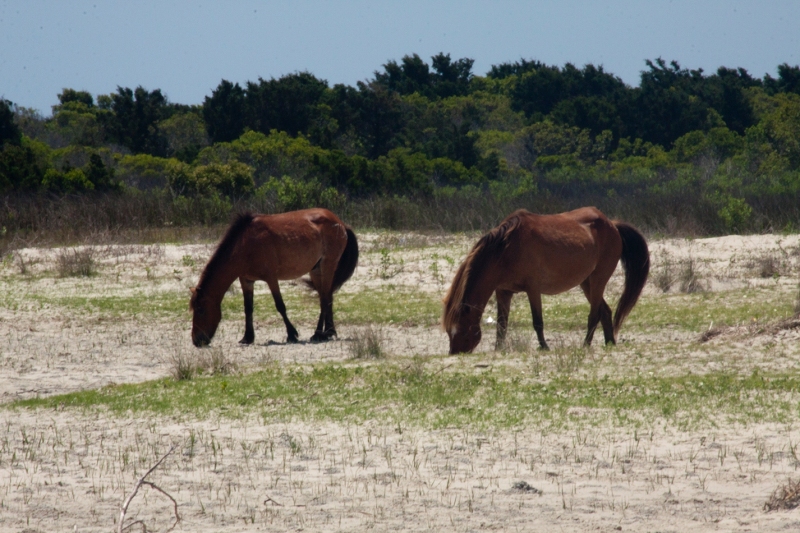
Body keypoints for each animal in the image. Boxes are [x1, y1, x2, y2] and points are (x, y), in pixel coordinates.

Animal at [190, 208, 359, 347]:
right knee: (327, 297)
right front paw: (247, 337)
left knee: (324, 299)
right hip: (316, 270)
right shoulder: (246, 280)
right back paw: (327, 332)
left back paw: (320, 334)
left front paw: (291, 334)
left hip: (327, 266)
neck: (245, 245)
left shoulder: (271, 278)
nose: (197, 341)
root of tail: (340, 223)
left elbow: (280, 306)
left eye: (201, 310)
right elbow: (248, 308)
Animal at [442, 207, 649, 354]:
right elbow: (501, 324)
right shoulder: (503, 292)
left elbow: (537, 321)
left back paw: (585, 345)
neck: (506, 250)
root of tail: (612, 224)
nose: (454, 353)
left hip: (598, 280)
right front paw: (498, 348)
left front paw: (544, 347)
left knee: (594, 314)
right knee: (605, 311)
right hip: (586, 283)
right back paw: (609, 343)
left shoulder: (533, 289)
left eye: (461, 330)